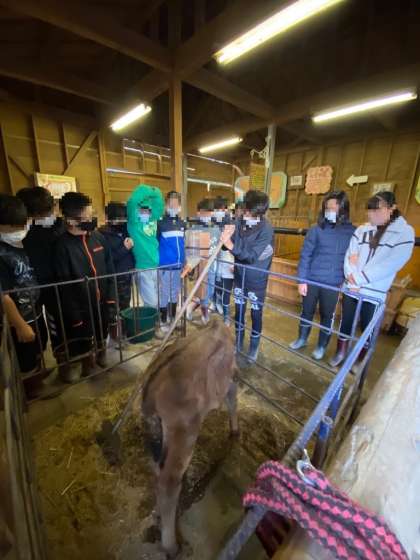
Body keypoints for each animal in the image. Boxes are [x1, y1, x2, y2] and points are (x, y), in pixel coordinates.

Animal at [140, 315, 239, 558]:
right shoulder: (231, 379)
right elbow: (233, 401)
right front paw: (235, 432)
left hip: (156, 434)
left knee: (158, 473)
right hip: (183, 433)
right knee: (168, 483)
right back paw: (172, 546)